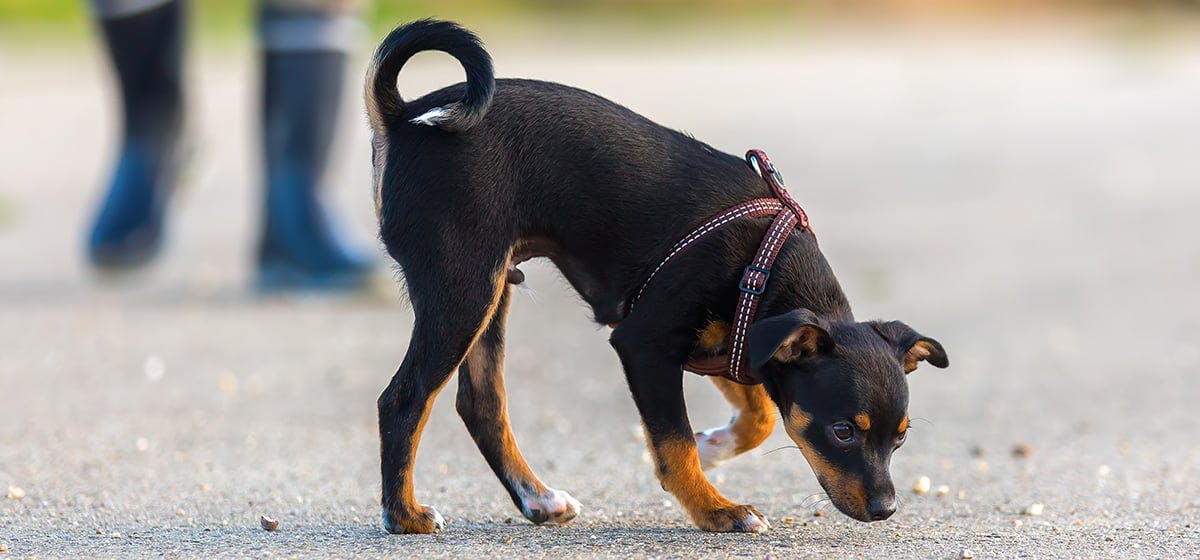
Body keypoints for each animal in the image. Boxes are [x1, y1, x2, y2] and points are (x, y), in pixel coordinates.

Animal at [364, 17, 945, 534]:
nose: (885, 510)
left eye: (900, 439)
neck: (762, 261)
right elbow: (674, 440)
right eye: (843, 431)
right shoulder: (645, 344)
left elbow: (756, 416)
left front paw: (714, 448)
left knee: (481, 404)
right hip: (463, 291)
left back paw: (538, 500)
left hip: (490, 292)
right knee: (403, 400)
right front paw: (716, 510)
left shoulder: (731, 343)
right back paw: (405, 515)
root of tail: (403, 117)